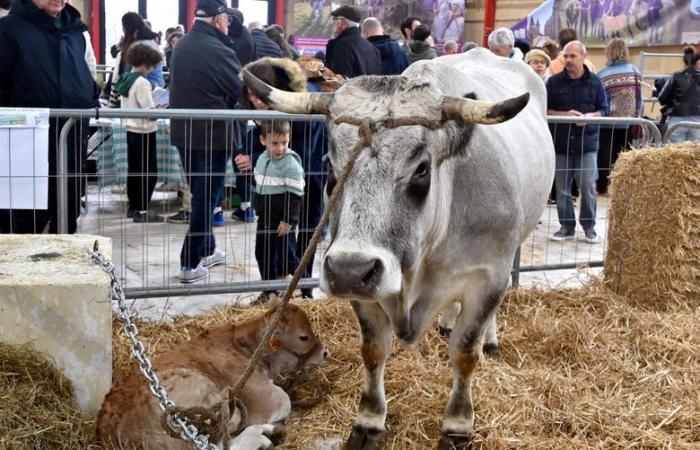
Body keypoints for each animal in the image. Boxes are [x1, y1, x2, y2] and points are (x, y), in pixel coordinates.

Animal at [243, 47, 556, 448]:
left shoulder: (489, 277)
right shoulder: (364, 287)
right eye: (331, 169)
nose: (349, 271)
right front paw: (368, 422)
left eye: (421, 169)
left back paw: (490, 340)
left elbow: (464, 354)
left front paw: (457, 425)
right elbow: (374, 351)